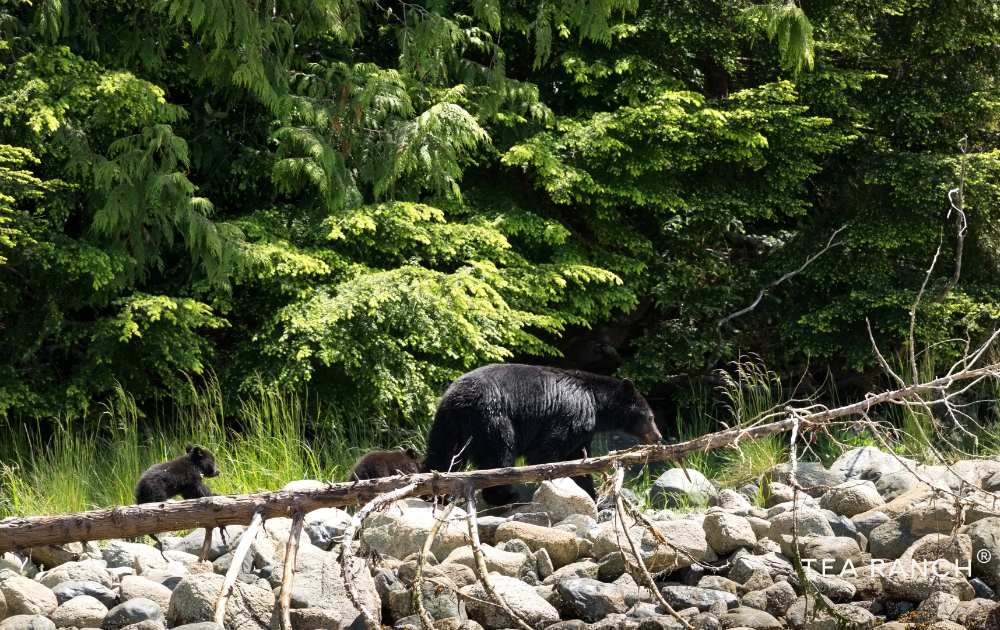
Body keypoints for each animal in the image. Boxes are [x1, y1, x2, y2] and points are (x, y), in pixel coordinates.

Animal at [420, 363, 662, 506]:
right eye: (650, 416)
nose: (658, 437)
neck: (595, 403)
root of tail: (458, 400)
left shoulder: (584, 432)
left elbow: (579, 459)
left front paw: (590, 494)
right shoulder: (571, 414)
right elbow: (548, 450)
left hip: (446, 423)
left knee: (441, 454)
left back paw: (434, 491)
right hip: (491, 417)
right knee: (499, 453)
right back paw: (504, 496)